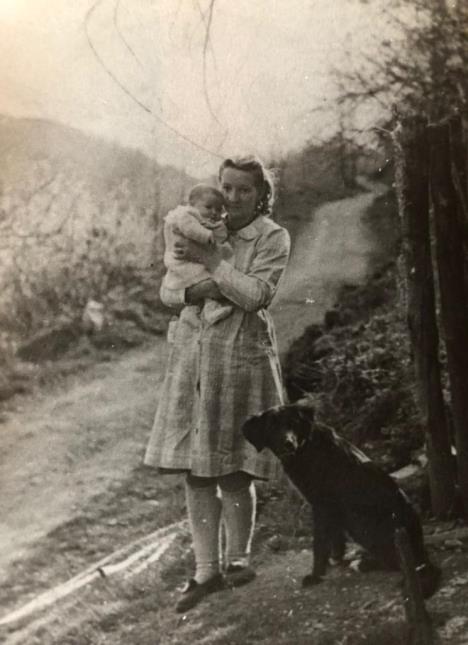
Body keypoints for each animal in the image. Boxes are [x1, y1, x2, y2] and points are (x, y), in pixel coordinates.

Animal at [243, 400, 440, 596]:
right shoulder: (332, 509)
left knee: (397, 562)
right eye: (272, 427)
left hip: (359, 521)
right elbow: (335, 537)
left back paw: (364, 563)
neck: (307, 446)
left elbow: (320, 544)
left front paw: (316, 575)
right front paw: (335, 559)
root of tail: (421, 551)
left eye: (293, 423)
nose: (288, 444)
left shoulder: (321, 505)